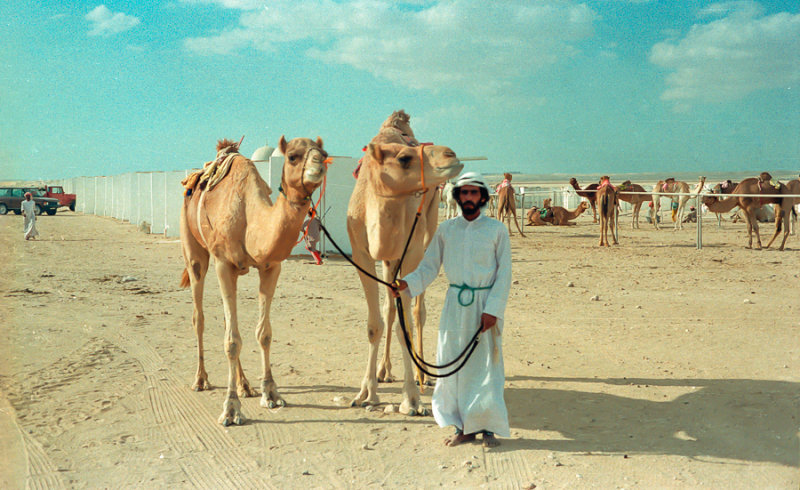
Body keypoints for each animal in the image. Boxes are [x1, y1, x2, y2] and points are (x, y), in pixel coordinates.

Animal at [180, 135, 326, 424]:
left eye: (324, 153)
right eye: (292, 156)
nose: (319, 165)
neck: (250, 217)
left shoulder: (271, 266)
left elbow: (264, 333)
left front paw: (270, 393)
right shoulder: (223, 264)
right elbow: (232, 340)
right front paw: (230, 409)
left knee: (228, 321)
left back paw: (245, 385)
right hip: (194, 252)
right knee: (198, 316)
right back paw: (201, 380)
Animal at [346, 121, 466, 414]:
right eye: (404, 158)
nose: (450, 153)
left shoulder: (411, 253)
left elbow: (406, 326)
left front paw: (411, 399)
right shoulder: (362, 255)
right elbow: (375, 324)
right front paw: (366, 393)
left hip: (428, 231)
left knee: (418, 311)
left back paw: (424, 375)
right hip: (390, 261)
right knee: (390, 310)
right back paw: (384, 370)